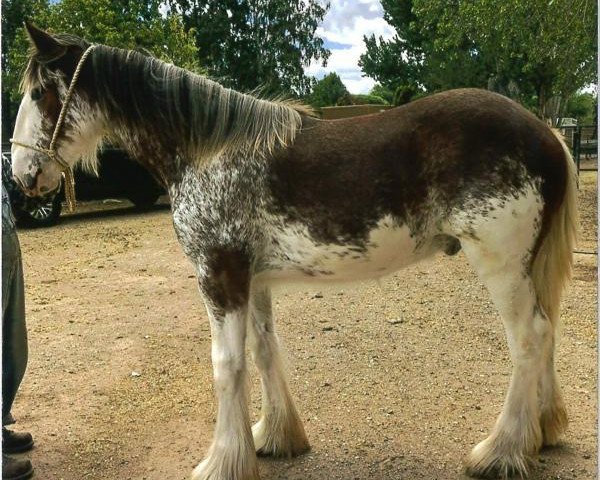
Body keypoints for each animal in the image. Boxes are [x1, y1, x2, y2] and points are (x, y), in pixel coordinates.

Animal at [11, 23, 580, 480]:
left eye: (39, 92)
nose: (21, 175)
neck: (207, 151)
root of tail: (547, 135)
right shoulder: (254, 280)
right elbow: (264, 351)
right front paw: (274, 438)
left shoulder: (219, 276)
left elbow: (226, 365)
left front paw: (222, 461)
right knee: (548, 330)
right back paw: (543, 431)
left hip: (500, 265)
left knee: (529, 339)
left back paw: (500, 452)